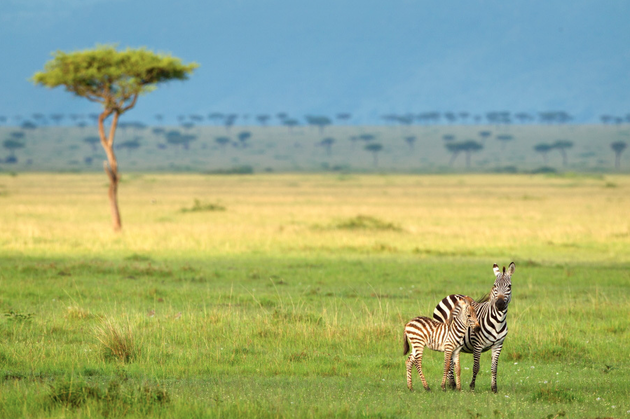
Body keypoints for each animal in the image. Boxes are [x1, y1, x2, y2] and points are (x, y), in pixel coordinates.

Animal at [434, 262, 520, 394]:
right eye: (495, 285)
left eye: (509, 286)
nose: (499, 304)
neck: (498, 321)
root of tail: (451, 295)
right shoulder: (477, 344)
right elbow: (476, 367)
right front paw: (472, 387)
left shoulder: (498, 345)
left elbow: (494, 368)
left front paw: (494, 388)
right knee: (448, 361)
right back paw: (452, 384)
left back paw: (451, 384)